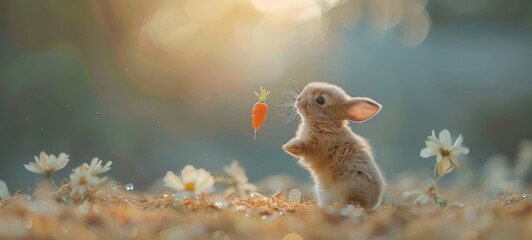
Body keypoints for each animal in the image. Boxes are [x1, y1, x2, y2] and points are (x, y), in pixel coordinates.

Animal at [280, 81, 384, 209]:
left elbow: (303, 146)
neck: (326, 122)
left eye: (320, 100)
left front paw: (288, 147)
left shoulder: (317, 144)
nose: (298, 99)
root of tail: (373, 203)